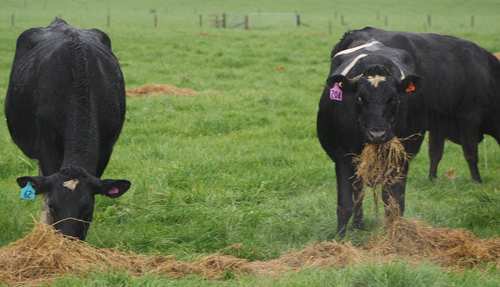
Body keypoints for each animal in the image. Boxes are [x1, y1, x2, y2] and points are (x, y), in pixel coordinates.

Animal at [5, 18, 131, 242]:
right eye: (53, 207)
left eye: (88, 209)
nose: (67, 242)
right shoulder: (46, 146)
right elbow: (46, 189)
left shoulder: (105, 149)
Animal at [318, 28, 500, 237]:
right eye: (359, 98)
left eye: (394, 99)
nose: (377, 134)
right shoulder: (343, 156)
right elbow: (345, 205)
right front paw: (339, 241)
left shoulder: (415, 145)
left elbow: (396, 202)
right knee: (359, 191)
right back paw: (358, 226)